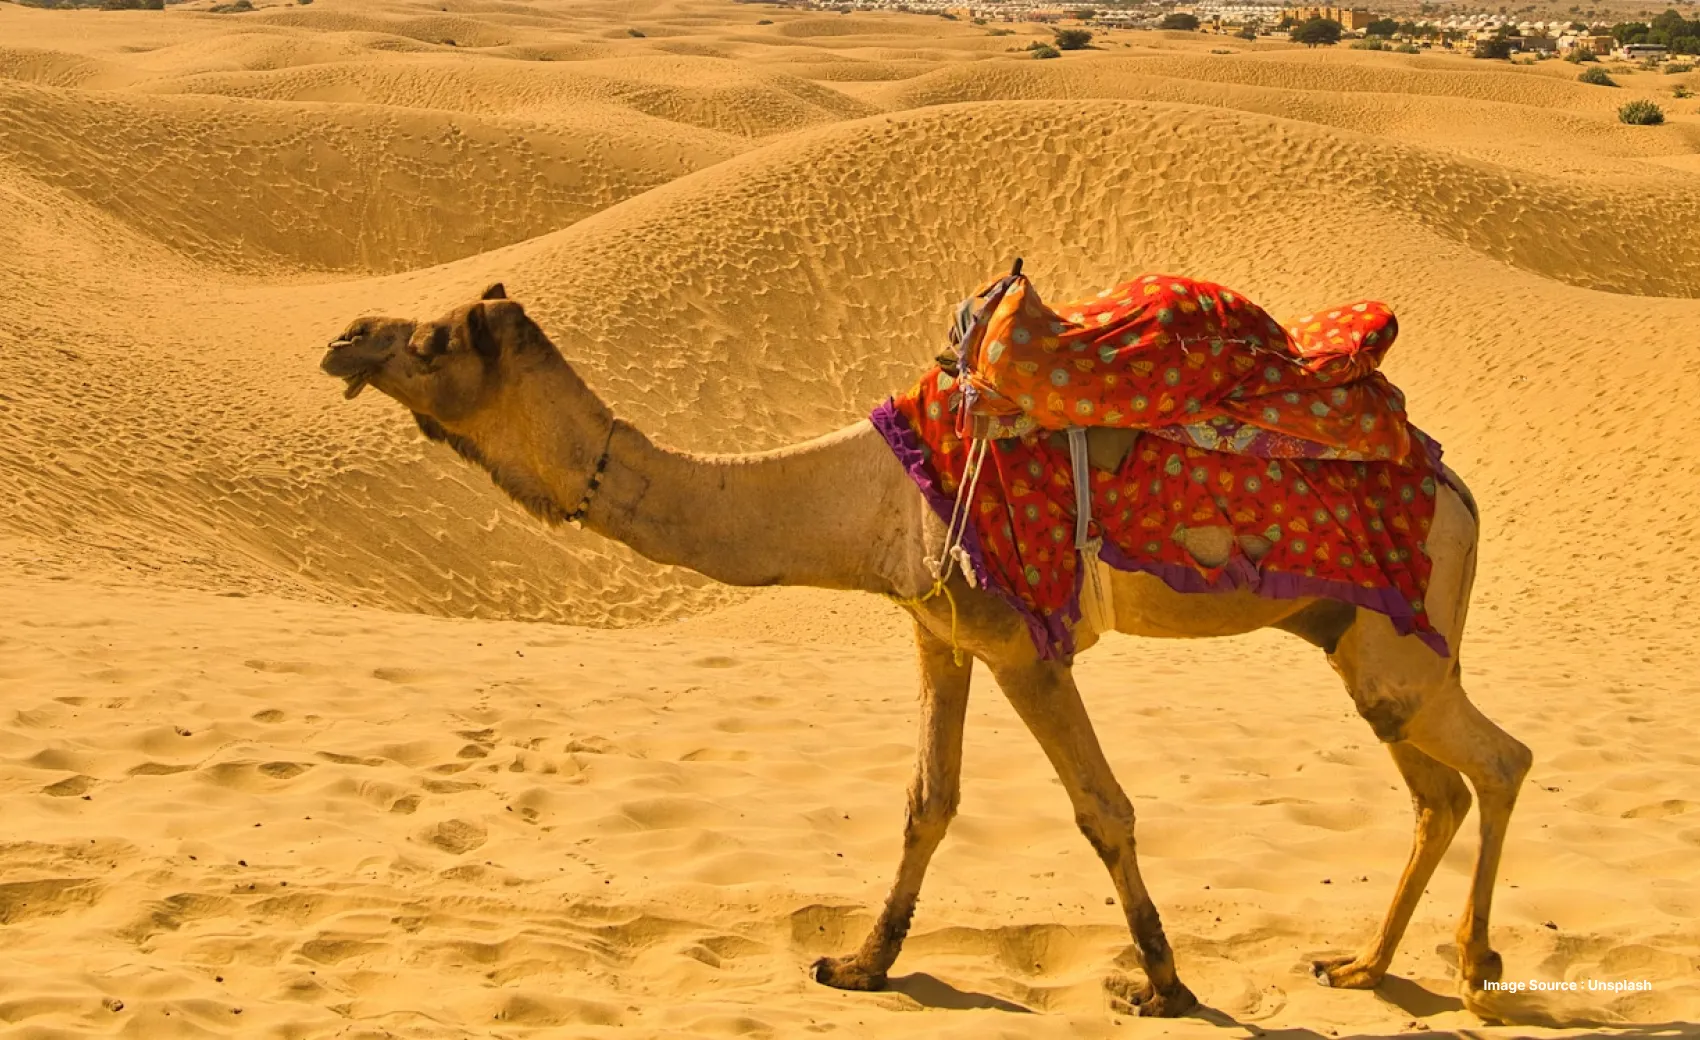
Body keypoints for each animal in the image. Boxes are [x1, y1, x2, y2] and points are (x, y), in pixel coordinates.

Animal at [320, 284, 1532, 1018]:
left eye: (431, 341)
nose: (345, 335)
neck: (862, 497)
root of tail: (1459, 488)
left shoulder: (1022, 641)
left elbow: (1102, 808)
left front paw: (1163, 986)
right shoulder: (936, 630)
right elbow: (926, 801)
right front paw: (861, 963)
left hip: (1401, 632)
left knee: (1500, 761)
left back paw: (1476, 972)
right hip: (1354, 635)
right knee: (1435, 785)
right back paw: (1364, 964)